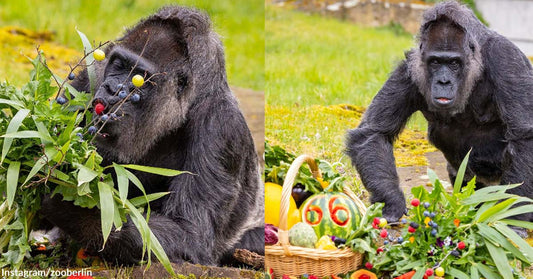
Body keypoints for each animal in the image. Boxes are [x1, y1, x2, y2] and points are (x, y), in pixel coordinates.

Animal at [40, 5, 264, 266]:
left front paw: (71, 206)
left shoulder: (222, 127)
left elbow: (191, 235)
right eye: (119, 64)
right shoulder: (90, 75)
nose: (112, 90)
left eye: (140, 77)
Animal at [344, 0, 532, 223]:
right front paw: (391, 202)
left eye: (453, 63)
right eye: (435, 62)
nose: (443, 81)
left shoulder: (505, 58)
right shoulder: (409, 67)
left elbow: (524, 136)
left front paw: (515, 217)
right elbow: (374, 133)